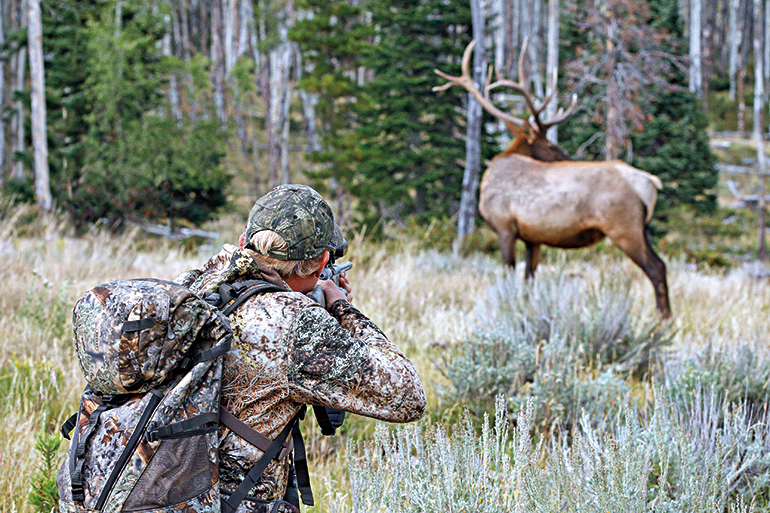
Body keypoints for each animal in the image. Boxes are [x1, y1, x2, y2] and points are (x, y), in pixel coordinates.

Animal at [436, 42, 668, 318]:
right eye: (550, 145)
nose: (567, 157)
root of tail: (649, 182)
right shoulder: (532, 237)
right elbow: (528, 278)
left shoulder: (504, 226)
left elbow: (509, 274)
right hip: (640, 228)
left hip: (624, 226)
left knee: (656, 267)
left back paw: (662, 319)